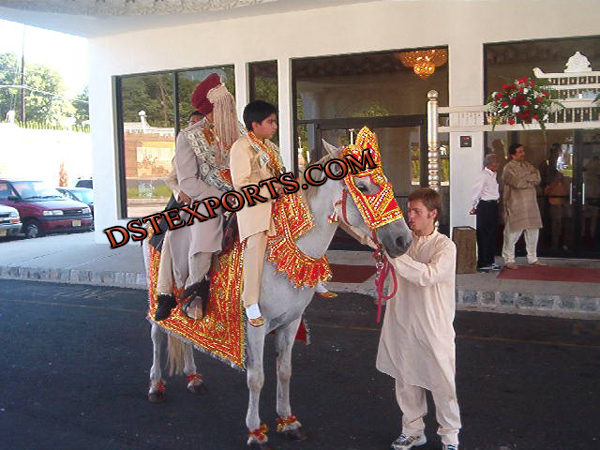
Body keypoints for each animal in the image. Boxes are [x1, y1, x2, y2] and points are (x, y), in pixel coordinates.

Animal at [145, 142, 412, 448]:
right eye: (363, 186)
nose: (403, 240)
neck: (287, 247)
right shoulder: (255, 327)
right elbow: (256, 378)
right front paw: (256, 432)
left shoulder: (290, 322)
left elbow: (284, 371)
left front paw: (288, 422)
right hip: (157, 296)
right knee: (157, 335)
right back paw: (155, 386)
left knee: (183, 334)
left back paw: (193, 378)